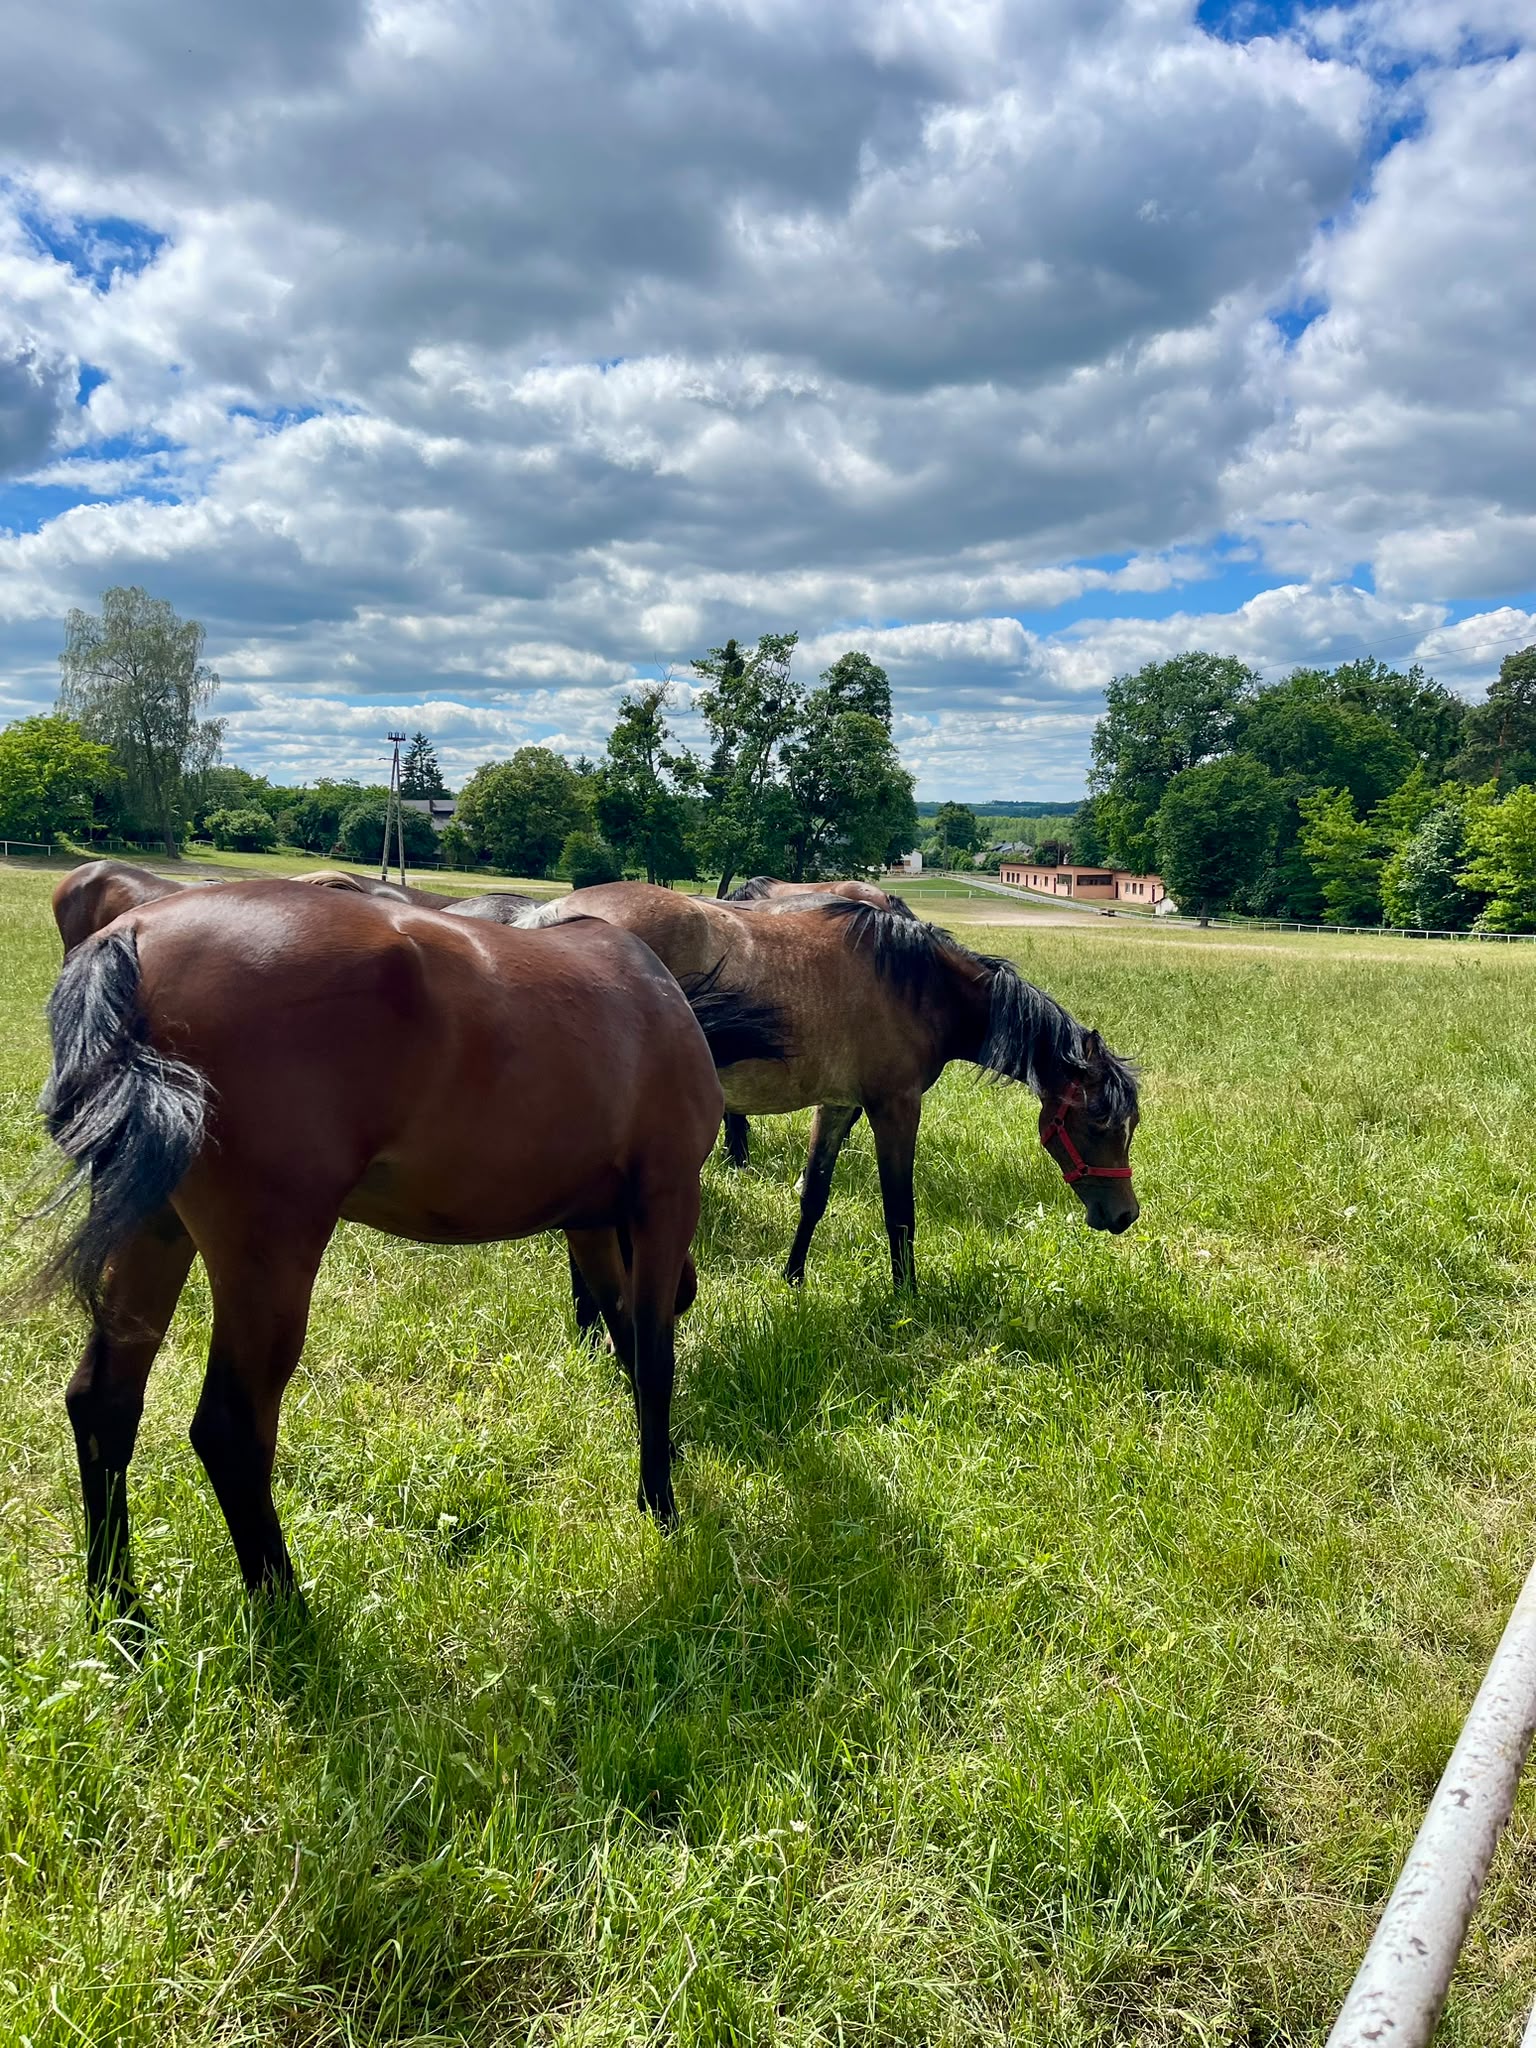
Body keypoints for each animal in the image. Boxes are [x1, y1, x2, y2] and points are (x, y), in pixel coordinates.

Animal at [31, 880, 784, 1623]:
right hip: (268, 1255)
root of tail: (132, 937)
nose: (689, 1285)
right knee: (230, 1430)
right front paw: (662, 1504)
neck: (660, 1005)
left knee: (104, 1404)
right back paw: (286, 1612)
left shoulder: (591, 1226)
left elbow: (625, 1338)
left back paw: (120, 1613)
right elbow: (654, 1358)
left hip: (155, 1230)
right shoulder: (666, 1202)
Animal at [515, 883, 1139, 1292]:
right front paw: (907, 1297)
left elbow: (813, 1194)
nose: (1125, 1216)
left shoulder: (838, 1105)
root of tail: (546, 918)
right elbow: (899, 1209)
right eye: (1096, 1122)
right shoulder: (895, 1108)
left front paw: (792, 1278)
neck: (916, 984)